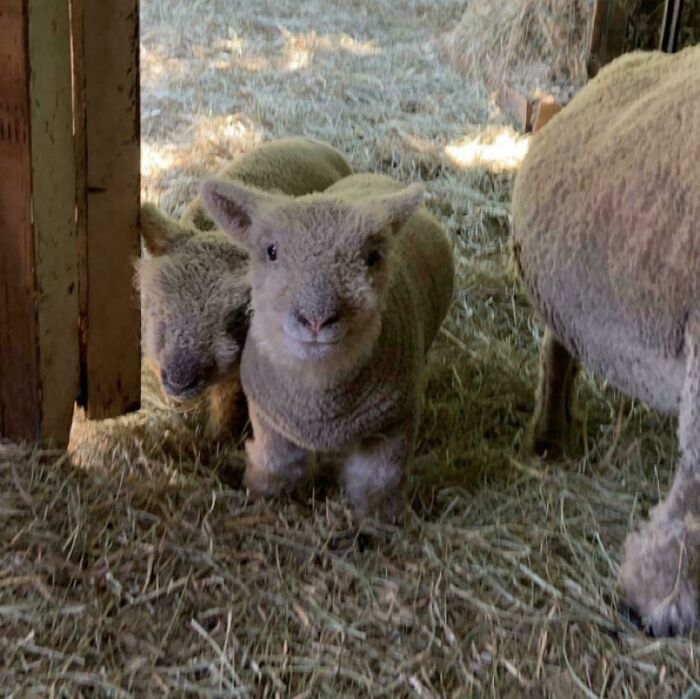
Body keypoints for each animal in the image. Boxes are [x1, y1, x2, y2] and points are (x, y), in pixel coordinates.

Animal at [137, 138, 353, 440]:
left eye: (238, 317)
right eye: (158, 305)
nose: (180, 380)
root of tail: (316, 142)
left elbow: (227, 405)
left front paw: (216, 440)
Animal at [200, 172, 455, 519]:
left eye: (371, 257)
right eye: (271, 251)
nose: (316, 319)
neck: (319, 407)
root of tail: (377, 175)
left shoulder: (395, 424)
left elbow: (378, 481)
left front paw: (379, 522)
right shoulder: (270, 421)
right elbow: (277, 465)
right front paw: (265, 499)